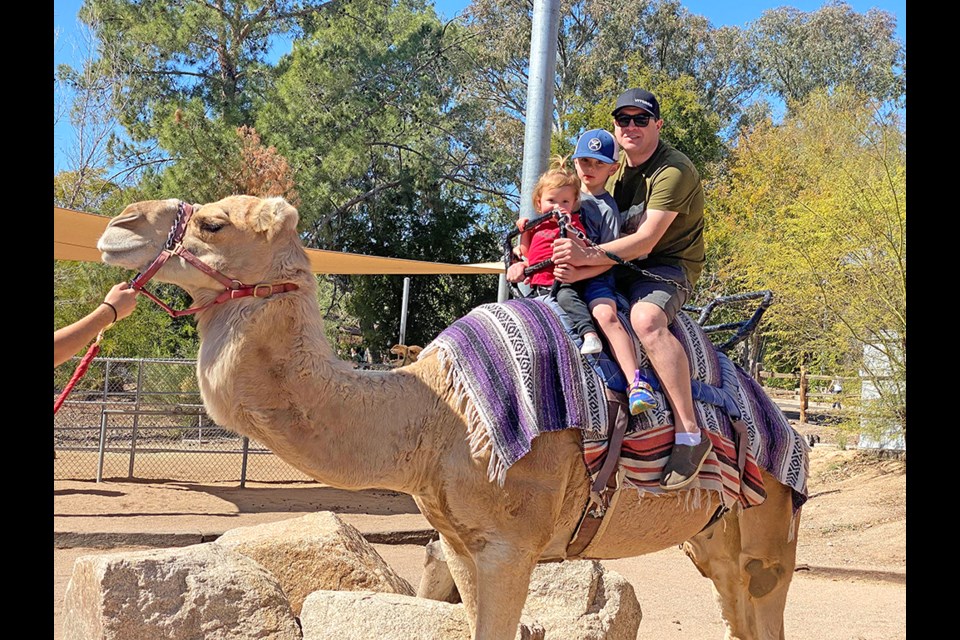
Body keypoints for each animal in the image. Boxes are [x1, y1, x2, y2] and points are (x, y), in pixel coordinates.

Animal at [97, 196, 804, 640]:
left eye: (213, 223)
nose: (118, 226)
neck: (438, 415)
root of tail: (784, 424)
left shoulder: (511, 545)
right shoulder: (462, 544)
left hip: (769, 524)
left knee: (765, 604)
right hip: (711, 538)